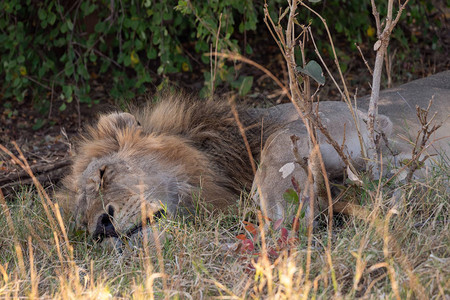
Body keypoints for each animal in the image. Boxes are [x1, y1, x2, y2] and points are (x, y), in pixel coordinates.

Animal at [58, 92, 392, 245]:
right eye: (81, 223)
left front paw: (279, 198)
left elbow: (283, 136)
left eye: (103, 175)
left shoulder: (343, 116)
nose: (101, 228)